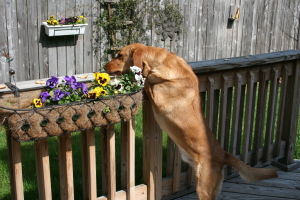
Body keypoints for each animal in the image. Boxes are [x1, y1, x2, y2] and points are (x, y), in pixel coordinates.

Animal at [105, 43, 276, 199]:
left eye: (119, 55)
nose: (104, 66)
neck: (161, 64)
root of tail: (223, 154)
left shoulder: (159, 99)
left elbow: (146, 82)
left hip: (204, 189)